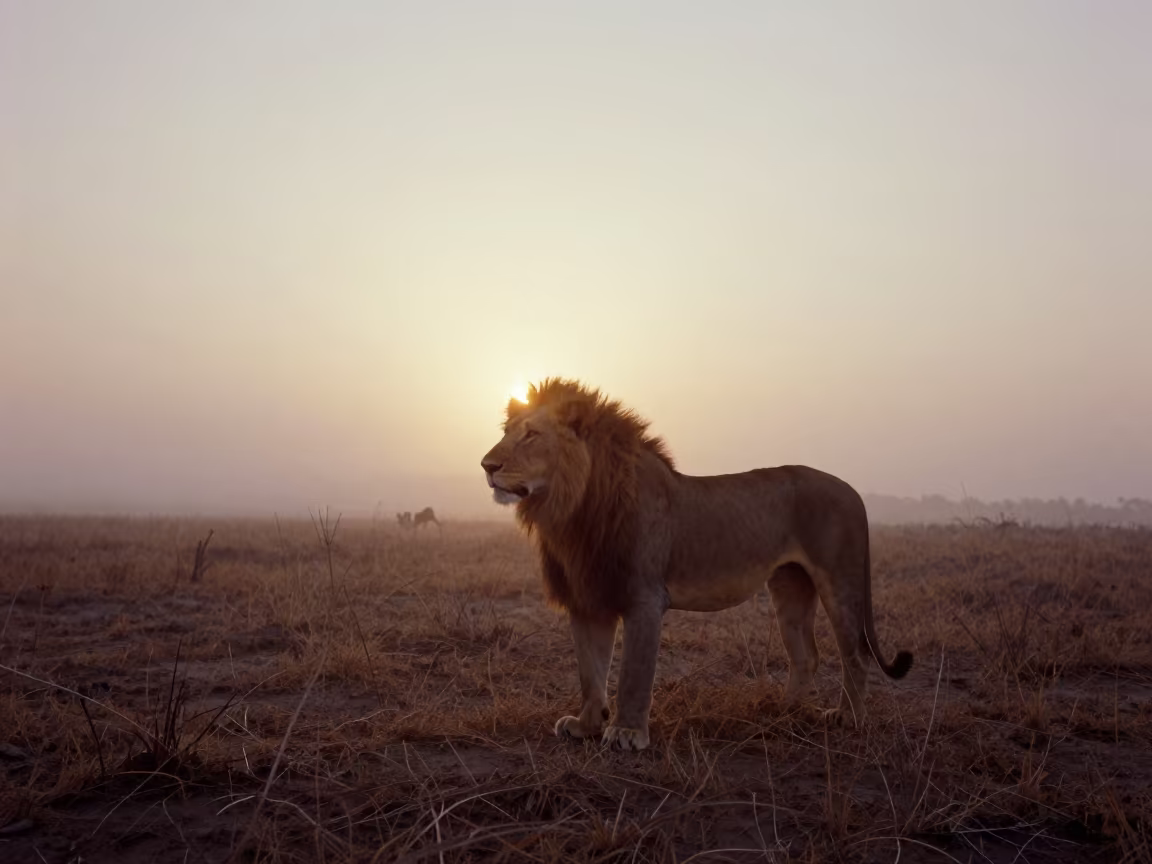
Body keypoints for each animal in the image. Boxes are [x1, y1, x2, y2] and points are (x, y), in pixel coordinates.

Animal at [480, 378, 912, 751]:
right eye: (506, 431)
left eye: (531, 435)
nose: (487, 465)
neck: (573, 508)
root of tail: (853, 490)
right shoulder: (588, 599)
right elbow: (590, 670)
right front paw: (586, 725)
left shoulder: (645, 598)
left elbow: (633, 672)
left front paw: (626, 733)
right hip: (790, 585)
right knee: (806, 656)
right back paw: (782, 712)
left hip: (839, 581)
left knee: (855, 655)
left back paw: (847, 718)